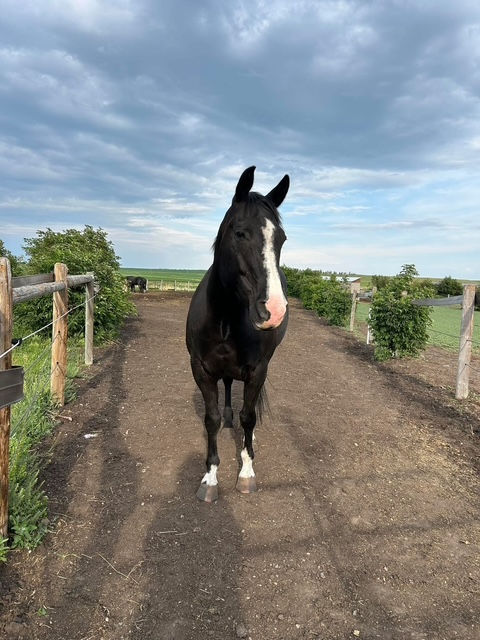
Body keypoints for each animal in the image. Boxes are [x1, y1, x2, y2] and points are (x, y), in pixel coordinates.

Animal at [186, 166, 289, 502]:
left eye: (281, 239)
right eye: (240, 233)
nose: (273, 309)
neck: (225, 320)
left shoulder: (257, 370)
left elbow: (249, 416)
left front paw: (246, 472)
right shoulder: (201, 369)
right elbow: (211, 419)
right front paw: (210, 478)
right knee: (230, 387)